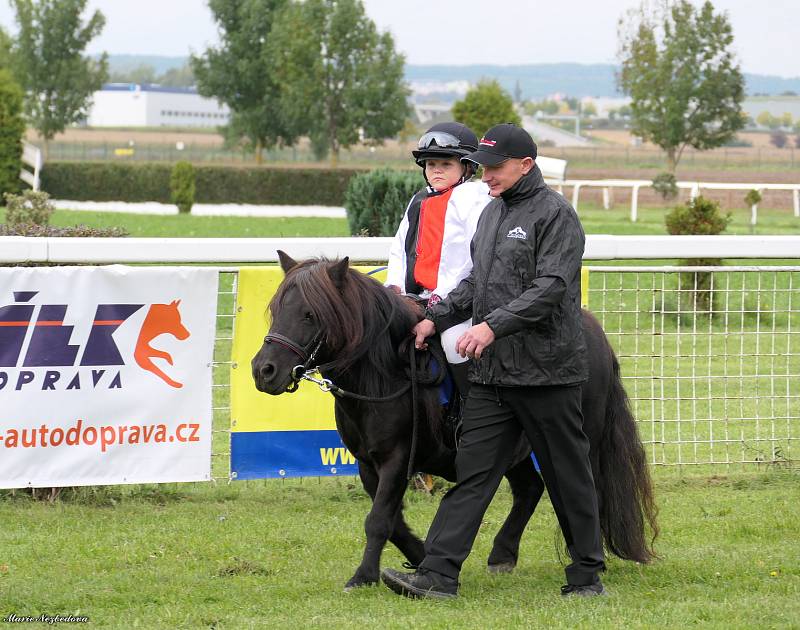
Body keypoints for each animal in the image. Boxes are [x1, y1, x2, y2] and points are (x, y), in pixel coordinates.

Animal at [250, 252, 656, 592]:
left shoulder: (398, 458)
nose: (264, 370)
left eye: (310, 314)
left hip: (578, 437)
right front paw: (421, 556)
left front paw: (363, 576)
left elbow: (378, 519)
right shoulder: (367, 463)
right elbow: (391, 521)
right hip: (516, 445)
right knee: (530, 488)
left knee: (582, 490)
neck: (386, 370)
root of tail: (592, 330)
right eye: (277, 309)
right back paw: (502, 554)